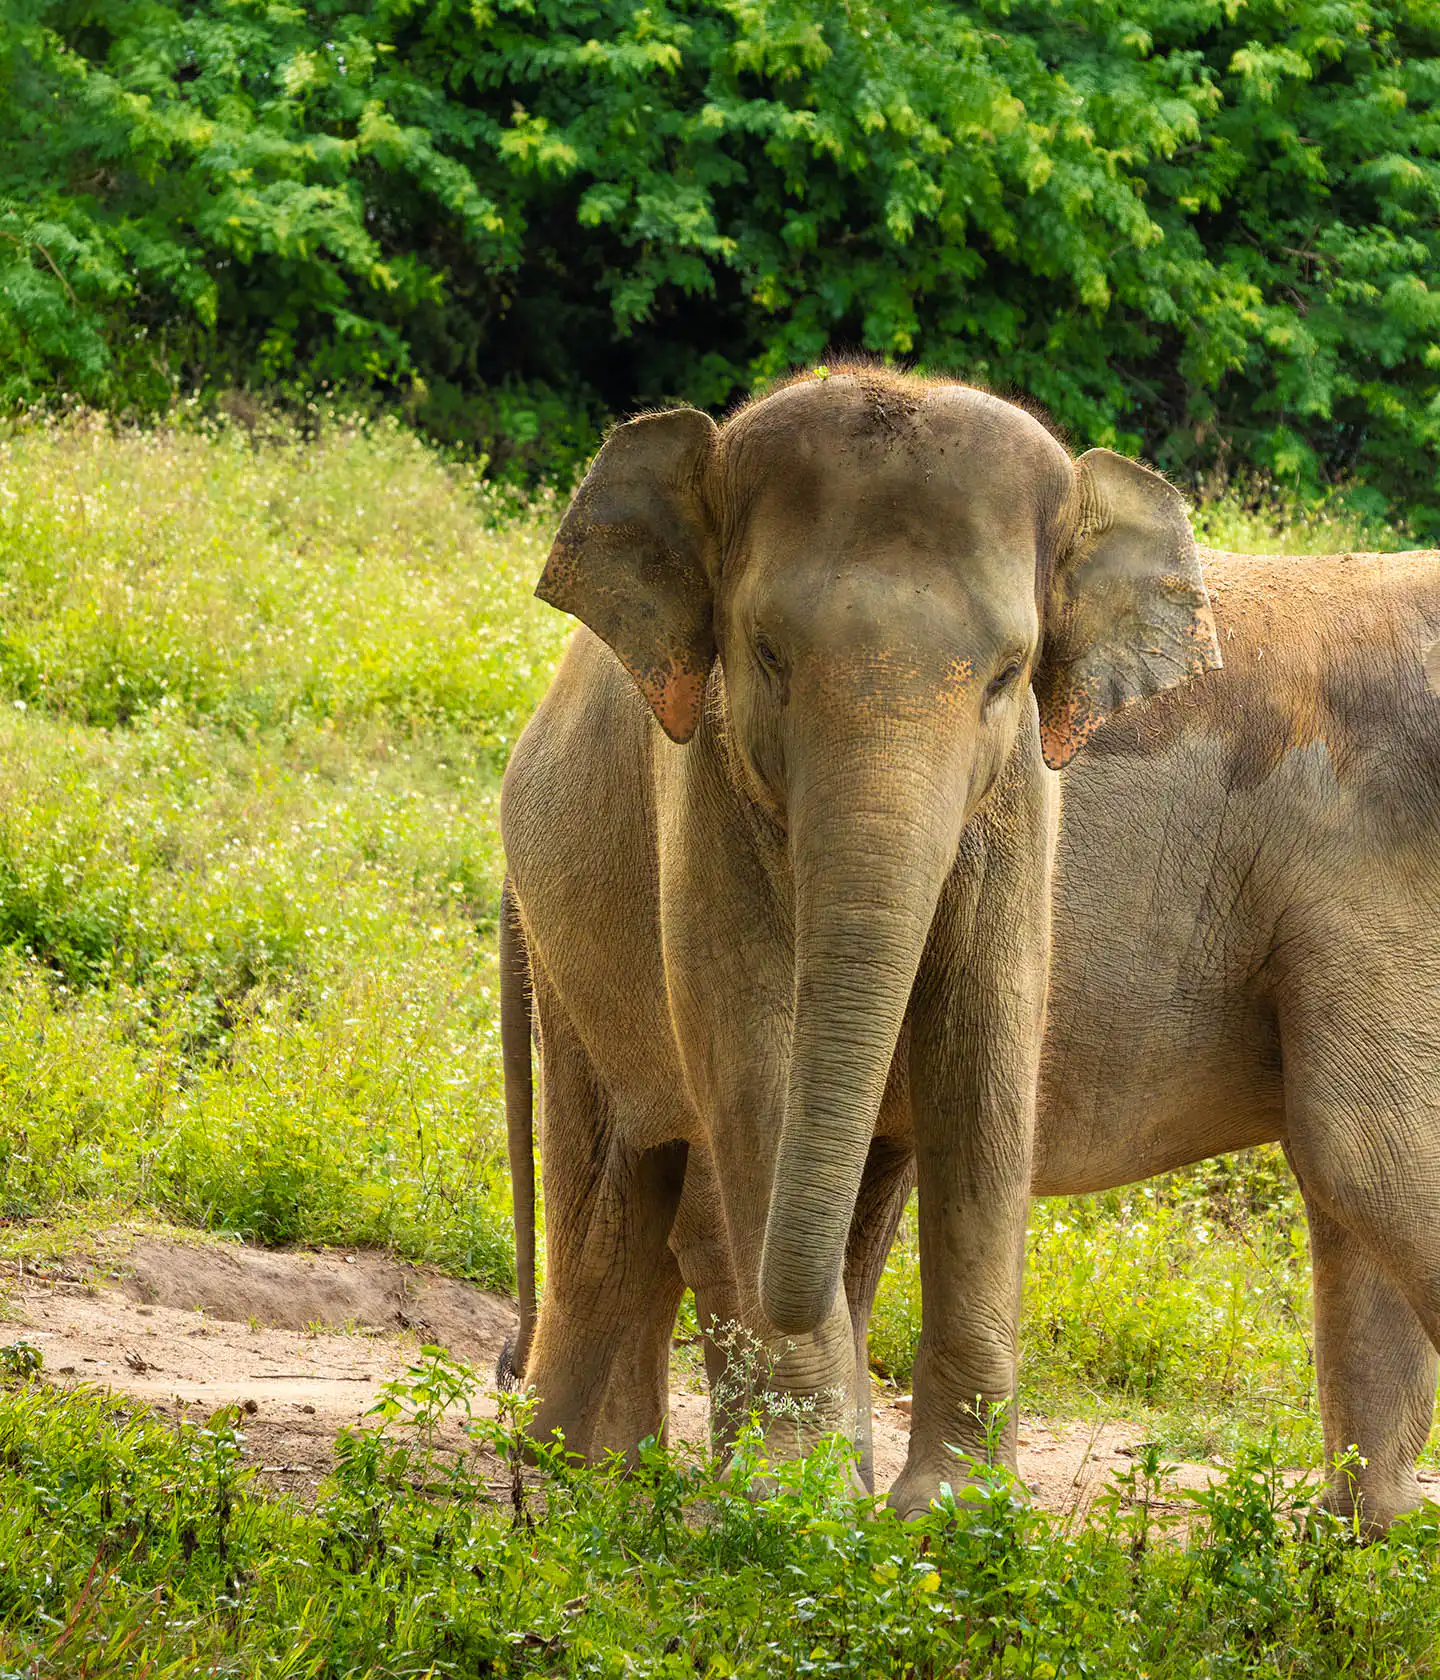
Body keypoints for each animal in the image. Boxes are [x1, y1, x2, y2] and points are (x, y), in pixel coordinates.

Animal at [498, 365, 1220, 1518]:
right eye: (765, 655)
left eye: (1009, 674)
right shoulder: (701, 785)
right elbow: (750, 1050)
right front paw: (795, 1501)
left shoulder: (1023, 800)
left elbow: (986, 1051)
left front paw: (953, 1516)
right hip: (560, 929)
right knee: (614, 1184)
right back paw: (586, 1472)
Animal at [508, 532, 1440, 1533]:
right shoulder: (1372, 870)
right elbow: (1375, 1152)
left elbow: (1356, 1178)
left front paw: (1371, 1537)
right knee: (654, 1184)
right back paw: (634, 1484)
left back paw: (608, 1474)